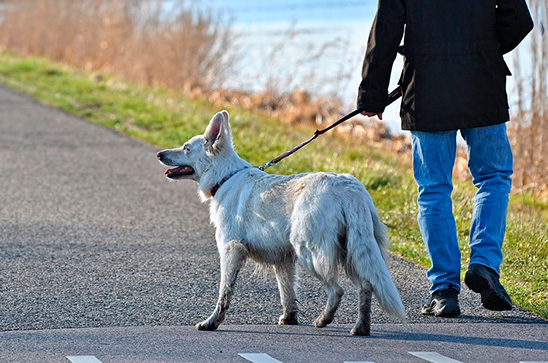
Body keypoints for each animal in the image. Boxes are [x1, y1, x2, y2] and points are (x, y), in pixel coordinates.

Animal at [156, 110, 404, 336]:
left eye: (186, 148)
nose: (159, 154)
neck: (225, 177)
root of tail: (348, 187)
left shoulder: (230, 250)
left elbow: (224, 293)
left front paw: (212, 322)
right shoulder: (283, 259)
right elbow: (287, 293)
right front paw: (289, 318)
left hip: (311, 253)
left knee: (337, 290)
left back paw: (323, 320)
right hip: (351, 252)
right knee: (366, 286)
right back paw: (360, 328)